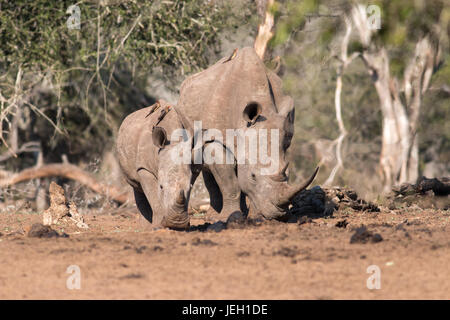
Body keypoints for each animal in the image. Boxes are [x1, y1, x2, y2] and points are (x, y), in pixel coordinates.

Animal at [178, 46, 318, 220]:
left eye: (287, 174)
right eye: (253, 176)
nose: (278, 214)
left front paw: (253, 215)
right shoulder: (216, 137)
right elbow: (230, 181)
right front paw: (228, 217)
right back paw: (213, 217)